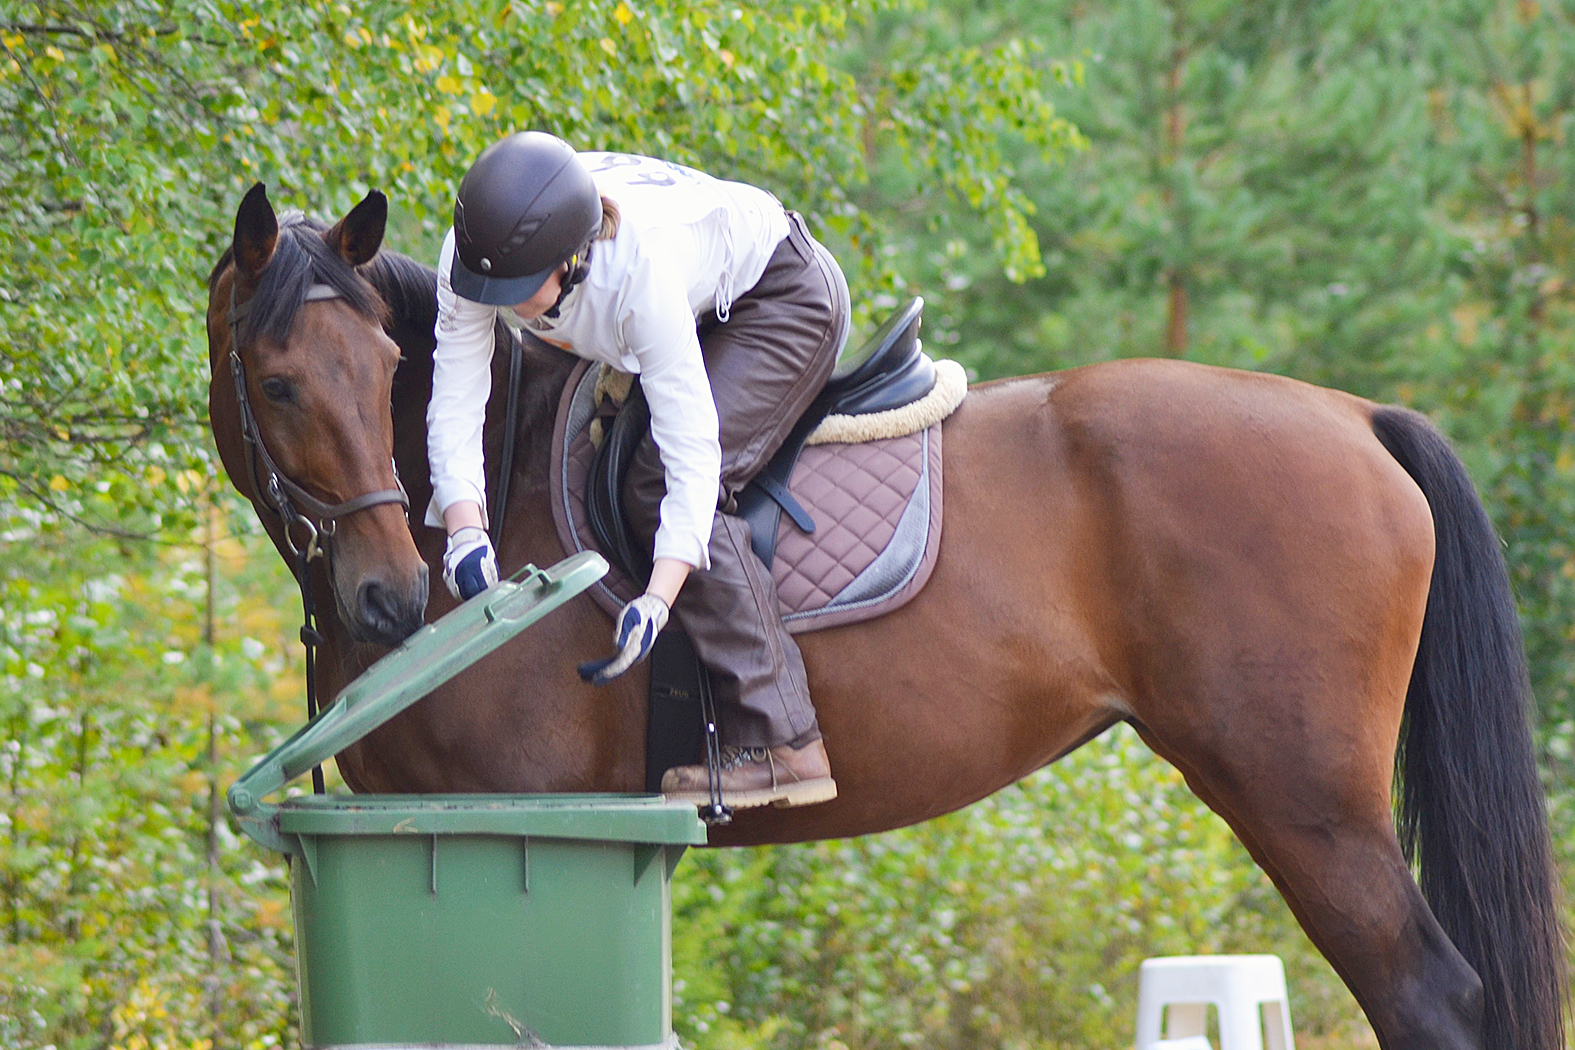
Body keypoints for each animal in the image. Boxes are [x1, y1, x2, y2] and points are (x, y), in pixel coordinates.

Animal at [206, 186, 1562, 1050]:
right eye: (279, 382)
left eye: (385, 373)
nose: (393, 593)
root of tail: (1357, 416)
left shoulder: (525, 822)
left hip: (1306, 806)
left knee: (1435, 1003)